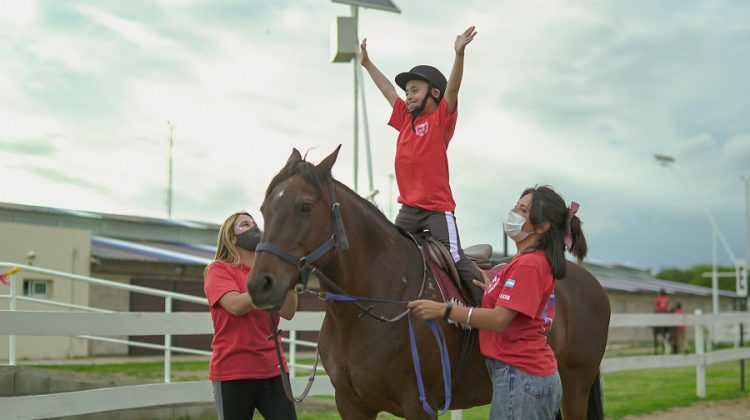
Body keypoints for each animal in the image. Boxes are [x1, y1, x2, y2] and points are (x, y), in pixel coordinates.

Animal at [247, 146, 612, 418]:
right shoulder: (352, 405)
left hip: (575, 389)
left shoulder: (419, 406)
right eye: (264, 208)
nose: (259, 284)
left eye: (305, 206)